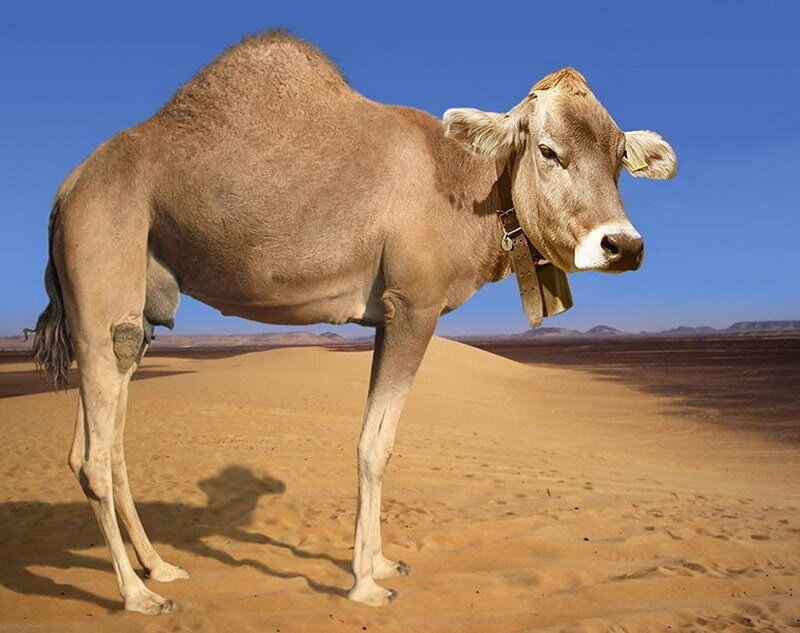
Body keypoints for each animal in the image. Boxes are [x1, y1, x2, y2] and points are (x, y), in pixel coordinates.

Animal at [30, 30, 676, 614]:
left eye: (620, 158)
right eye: (546, 150)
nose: (622, 245)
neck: (465, 183)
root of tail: (65, 191)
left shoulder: (387, 314)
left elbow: (377, 438)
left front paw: (383, 562)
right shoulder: (412, 305)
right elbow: (376, 443)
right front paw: (366, 585)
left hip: (134, 307)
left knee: (105, 439)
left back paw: (160, 567)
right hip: (104, 263)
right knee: (94, 453)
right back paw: (137, 595)